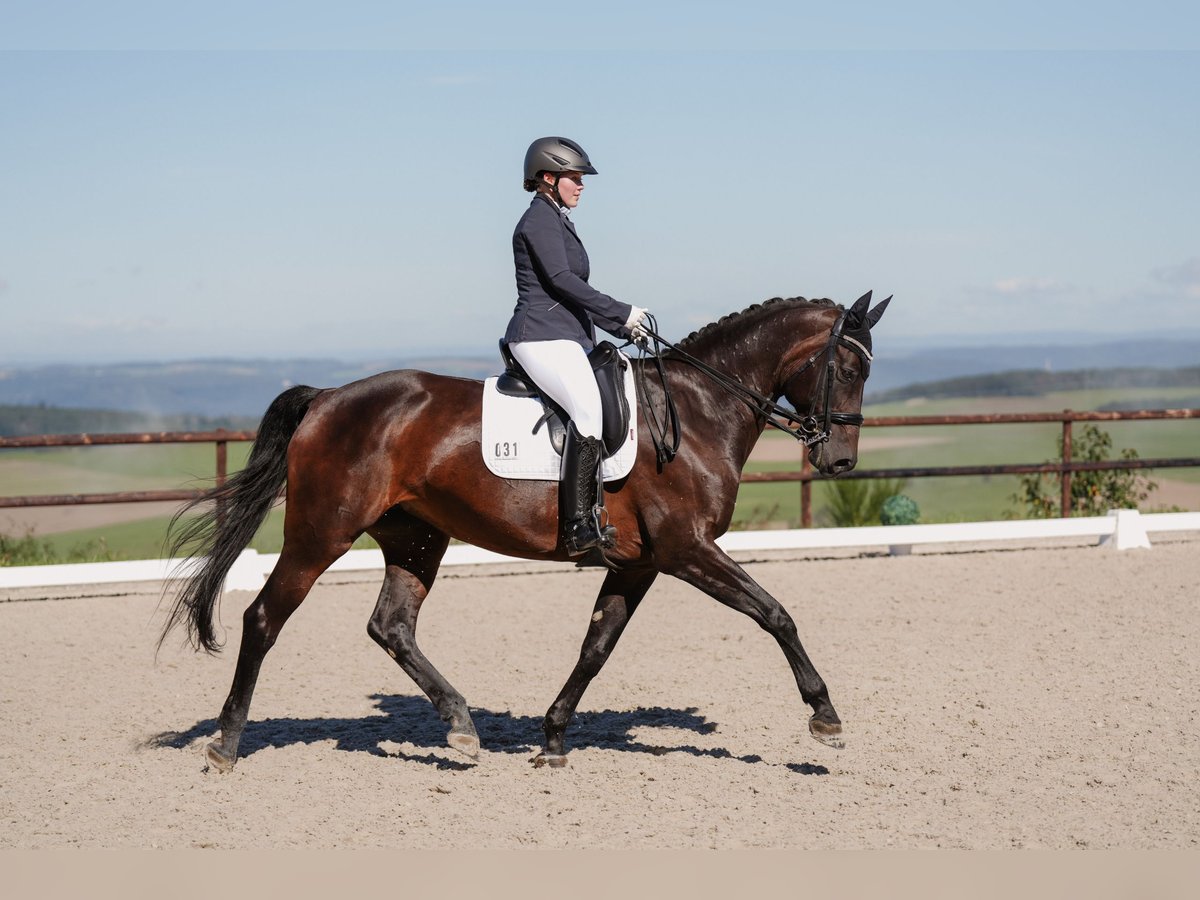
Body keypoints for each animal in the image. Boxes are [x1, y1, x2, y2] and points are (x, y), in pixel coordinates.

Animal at [159, 292, 892, 772]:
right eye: (850, 368)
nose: (840, 462)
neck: (699, 409)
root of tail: (326, 399)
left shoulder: (640, 563)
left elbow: (597, 647)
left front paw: (553, 738)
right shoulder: (688, 549)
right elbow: (775, 613)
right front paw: (824, 716)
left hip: (416, 539)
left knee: (391, 626)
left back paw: (461, 726)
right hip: (321, 533)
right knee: (263, 618)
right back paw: (226, 744)